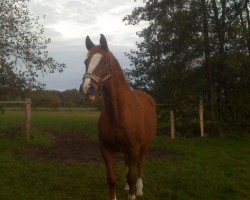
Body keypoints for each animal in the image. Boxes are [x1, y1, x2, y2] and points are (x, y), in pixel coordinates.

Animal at [80, 34, 156, 200]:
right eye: (86, 62)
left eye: (104, 61)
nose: (87, 90)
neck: (118, 115)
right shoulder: (106, 149)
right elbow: (112, 179)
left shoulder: (134, 148)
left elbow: (131, 175)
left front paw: (133, 194)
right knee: (128, 165)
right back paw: (127, 187)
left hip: (145, 146)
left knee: (140, 165)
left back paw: (139, 189)